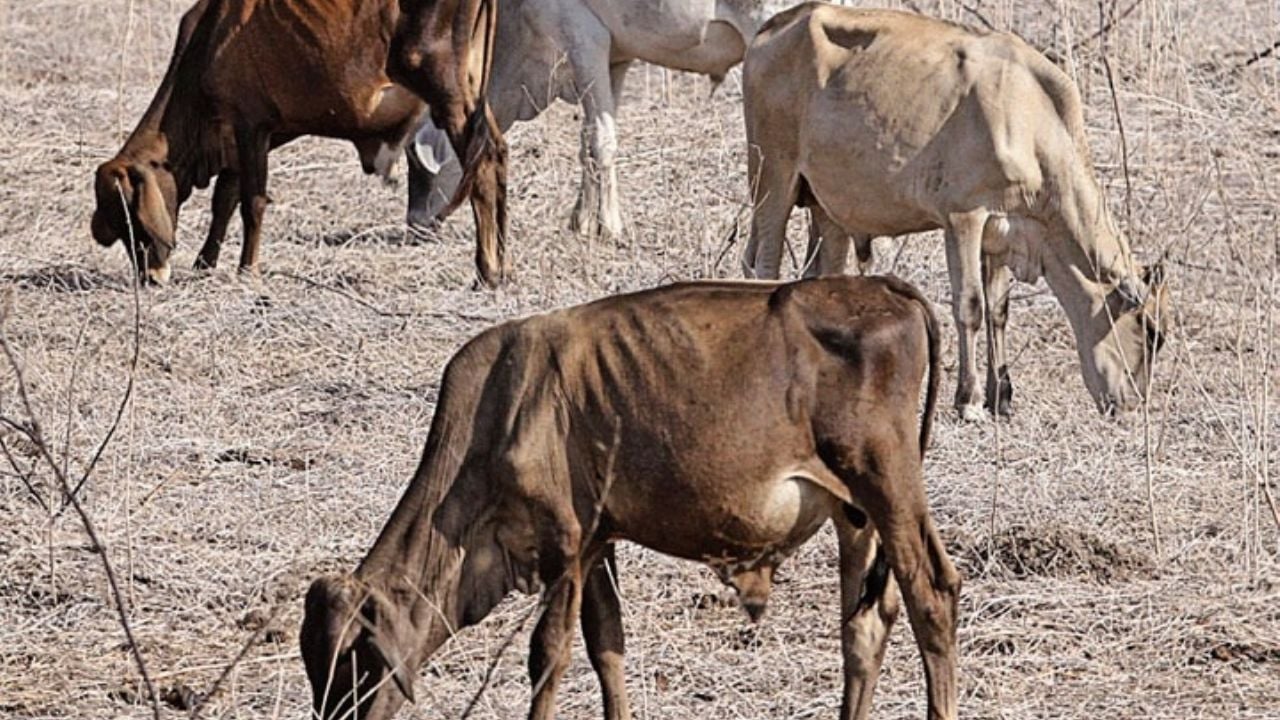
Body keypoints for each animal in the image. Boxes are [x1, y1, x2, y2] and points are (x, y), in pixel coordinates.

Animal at [91, 0, 431, 285]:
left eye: (135, 218)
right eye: (119, 227)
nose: (151, 277)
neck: (208, 42)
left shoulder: (251, 126)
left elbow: (252, 204)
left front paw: (247, 270)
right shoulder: (234, 144)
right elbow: (223, 201)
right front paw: (205, 263)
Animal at [300, 275, 961, 720]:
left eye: (351, 663)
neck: (497, 409)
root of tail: (882, 286)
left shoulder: (564, 545)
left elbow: (548, 656)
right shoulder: (600, 542)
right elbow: (607, 647)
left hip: (889, 486)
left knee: (931, 596)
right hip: (857, 516)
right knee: (865, 625)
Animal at [402, 0, 763, 238]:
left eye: (415, 163)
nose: (414, 221)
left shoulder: (585, 41)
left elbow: (602, 141)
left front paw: (610, 227)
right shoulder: (615, 60)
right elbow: (587, 141)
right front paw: (583, 221)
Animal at [741, 3, 1171, 419]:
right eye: (1153, 332)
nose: (1132, 406)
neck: (1029, 117)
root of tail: (777, 25)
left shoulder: (1002, 231)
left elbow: (998, 309)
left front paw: (1002, 396)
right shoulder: (964, 217)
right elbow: (971, 306)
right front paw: (970, 399)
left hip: (825, 206)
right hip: (772, 179)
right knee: (764, 265)